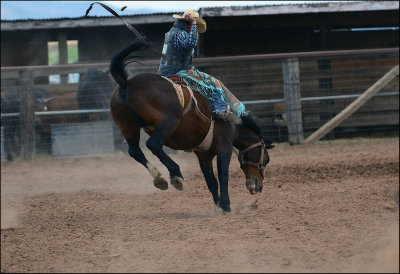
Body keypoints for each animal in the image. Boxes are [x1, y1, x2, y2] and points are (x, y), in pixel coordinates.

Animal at [108, 38, 274, 212]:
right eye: (266, 159)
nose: (258, 186)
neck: (233, 125)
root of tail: (126, 83)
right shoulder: (224, 147)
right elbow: (223, 175)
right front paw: (226, 206)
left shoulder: (203, 155)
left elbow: (211, 181)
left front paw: (218, 206)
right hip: (168, 122)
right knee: (153, 144)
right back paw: (175, 175)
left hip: (128, 127)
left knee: (135, 151)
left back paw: (160, 178)